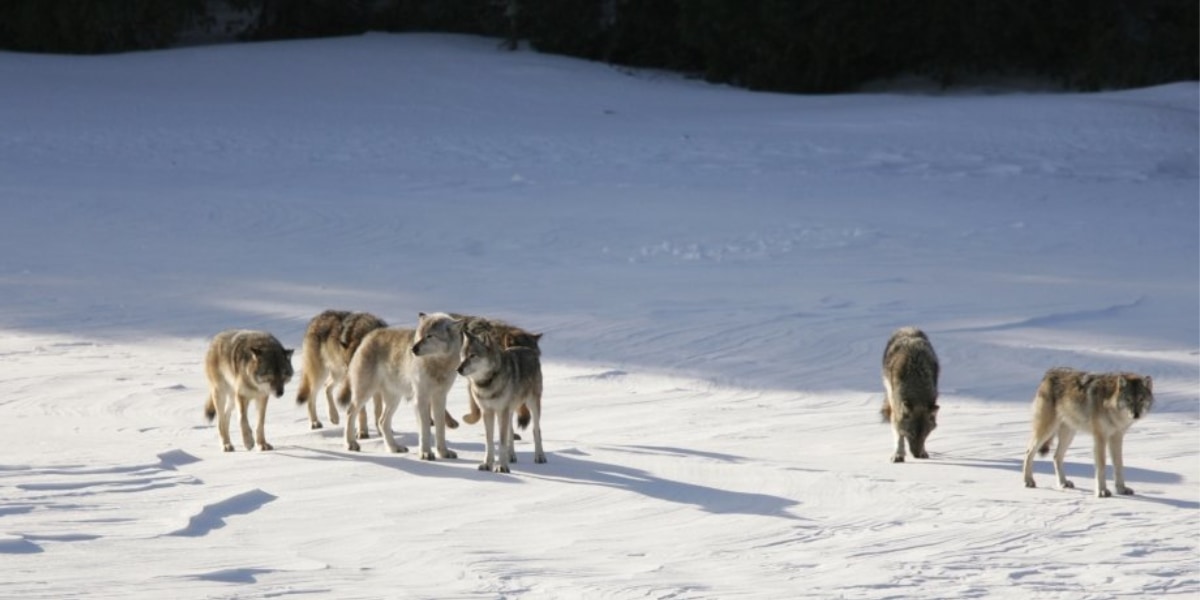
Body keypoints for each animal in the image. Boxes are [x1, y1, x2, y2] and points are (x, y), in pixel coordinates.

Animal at [343, 312, 468, 456]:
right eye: (419, 335)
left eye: (430, 336)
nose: (413, 349)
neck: (437, 365)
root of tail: (370, 335)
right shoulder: (420, 398)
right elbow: (425, 429)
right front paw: (425, 453)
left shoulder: (440, 398)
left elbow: (440, 428)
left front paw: (443, 453)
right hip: (365, 393)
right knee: (350, 413)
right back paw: (351, 444)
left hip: (394, 399)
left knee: (382, 421)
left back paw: (394, 447)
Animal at [453, 328, 544, 472]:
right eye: (463, 355)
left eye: (473, 355)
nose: (458, 369)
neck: (487, 383)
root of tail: (528, 349)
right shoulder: (487, 412)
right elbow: (489, 441)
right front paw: (487, 464)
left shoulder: (502, 411)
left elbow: (501, 441)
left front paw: (501, 467)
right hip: (510, 411)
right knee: (510, 432)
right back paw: (511, 456)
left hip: (532, 405)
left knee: (536, 430)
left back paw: (540, 457)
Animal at [883, 328, 936, 463]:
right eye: (910, 434)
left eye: (925, 435)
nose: (917, 455)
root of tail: (908, 329)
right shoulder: (896, 410)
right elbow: (899, 436)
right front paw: (898, 455)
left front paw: (923, 452)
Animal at [1022, 367, 1152, 499]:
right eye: (1128, 399)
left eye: (1141, 399)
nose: (1136, 414)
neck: (1110, 405)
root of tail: (1050, 372)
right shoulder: (1100, 437)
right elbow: (1101, 466)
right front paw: (1102, 491)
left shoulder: (1117, 437)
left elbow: (1119, 465)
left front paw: (1122, 489)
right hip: (1047, 431)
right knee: (1028, 452)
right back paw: (1028, 481)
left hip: (1069, 434)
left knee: (1056, 456)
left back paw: (1063, 482)